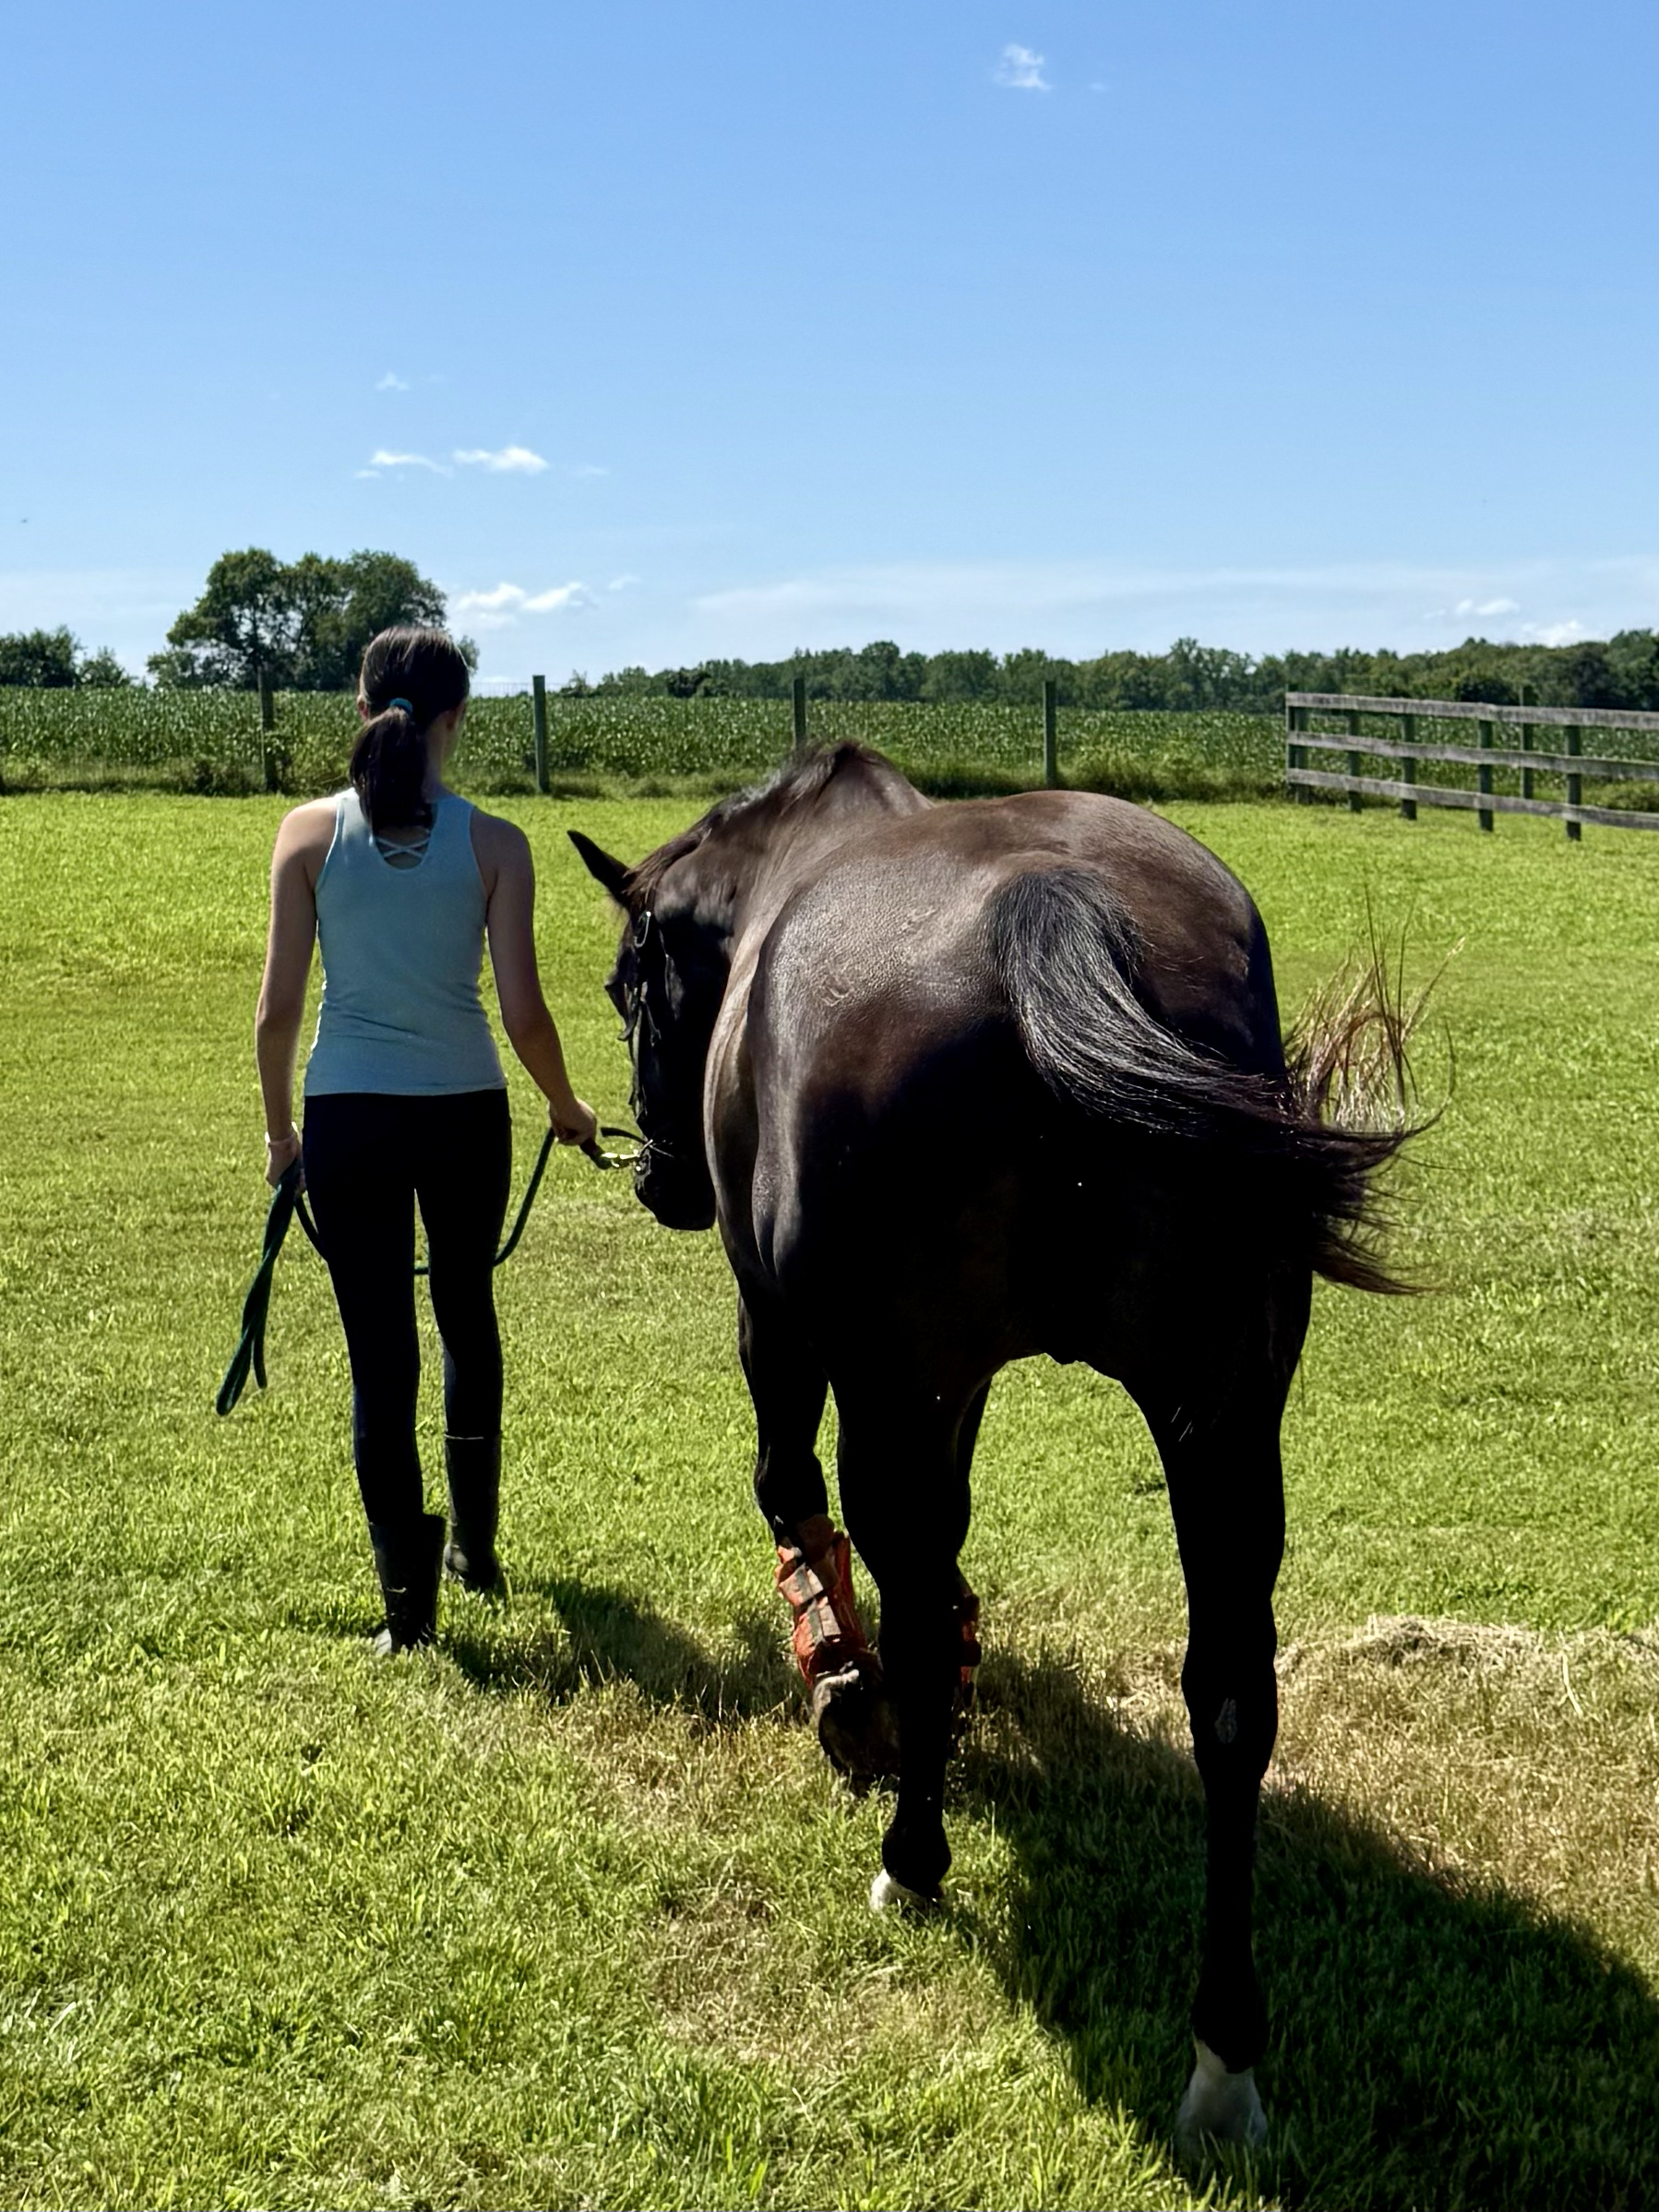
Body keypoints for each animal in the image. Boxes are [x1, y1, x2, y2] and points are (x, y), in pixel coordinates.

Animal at [571, 741, 1412, 2149]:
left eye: (630, 985)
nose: (656, 1179)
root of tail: (1049, 907)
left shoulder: (806, 1340)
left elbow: (799, 1499)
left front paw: (847, 1685)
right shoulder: (955, 1386)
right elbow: (953, 1530)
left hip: (896, 1381)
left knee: (903, 1594)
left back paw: (912, 1859)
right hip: (1225, 1422)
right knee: (1231, 1699)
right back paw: (1222, 2051)